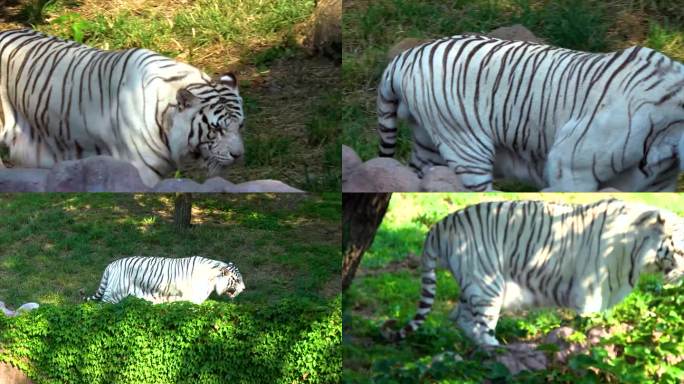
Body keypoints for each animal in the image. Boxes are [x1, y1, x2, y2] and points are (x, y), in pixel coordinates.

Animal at [382, 200, 684, 346]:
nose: (681, 277)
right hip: (487, 284)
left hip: (474, 285)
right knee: (479, 326)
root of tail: (438, 227)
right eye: (680, 252)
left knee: (460, 318)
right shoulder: (591, 287)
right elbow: (590, 318)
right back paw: (496, 351)